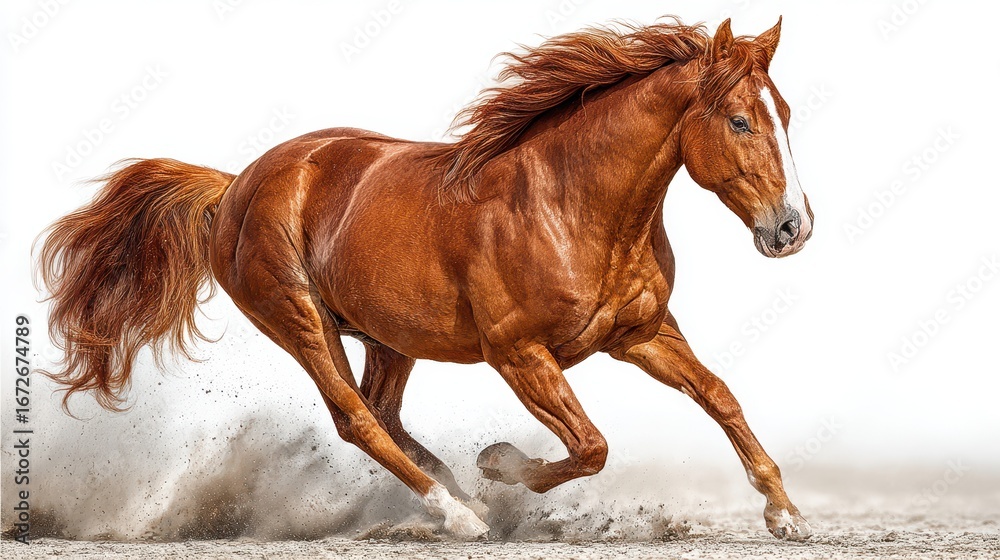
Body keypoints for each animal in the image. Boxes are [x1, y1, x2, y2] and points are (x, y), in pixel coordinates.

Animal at [37, 18, 814, 540]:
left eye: (785, 113)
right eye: (740, 120)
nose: (791, 229)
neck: (572, 205)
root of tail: (235, 188)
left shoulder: (643, 333)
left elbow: (720, 397)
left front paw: (785, 514)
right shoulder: (518, 355)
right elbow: (591, 445)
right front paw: (499, 466)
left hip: (388, 336)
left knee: (382, 413)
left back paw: (456, 497)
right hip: (299, 318)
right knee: (354, 418)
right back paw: (460, 515)